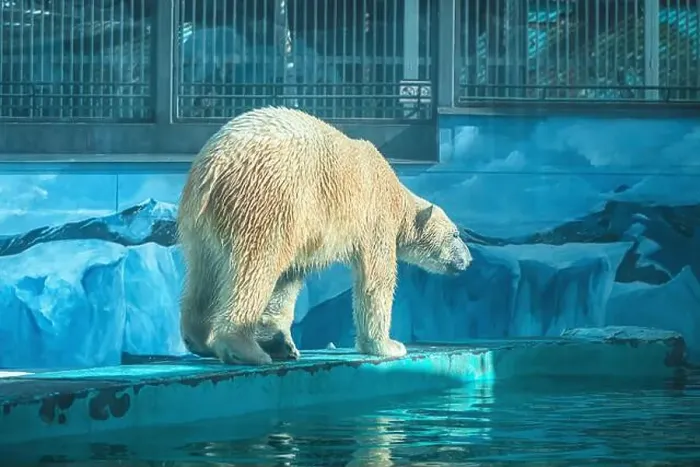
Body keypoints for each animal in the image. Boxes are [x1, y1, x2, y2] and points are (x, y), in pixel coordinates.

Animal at [177, 106, 473, 366]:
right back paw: (244, 349)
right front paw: (388, 345)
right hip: (266, 199)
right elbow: (376, 279)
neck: (396, 195)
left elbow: (288, 279)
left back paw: (199, 339)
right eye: (456, 235)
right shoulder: (375, 218)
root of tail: (216, 164)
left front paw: (279, 341)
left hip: (201, 220)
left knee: (204, 272)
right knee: (256, 267)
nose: (468, 260)